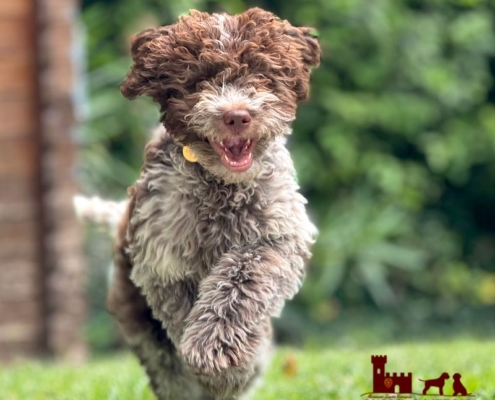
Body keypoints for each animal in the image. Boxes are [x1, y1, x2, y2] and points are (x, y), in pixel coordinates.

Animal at [78, 7, 320, 400]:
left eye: (260, 74)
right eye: (200, 80)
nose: (236, 116)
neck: (221, 186)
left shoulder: (276, 236)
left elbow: (242, 278)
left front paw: (219, 354)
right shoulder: (162, 260)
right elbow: (181, 310)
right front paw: (213, 362)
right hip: (135, 312)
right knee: (166, 366)